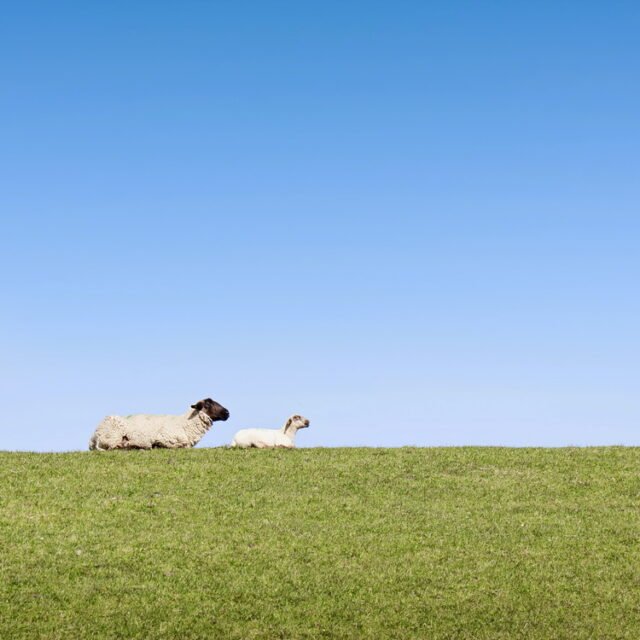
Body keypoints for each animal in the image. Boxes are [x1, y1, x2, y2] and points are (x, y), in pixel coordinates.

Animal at [89, 398, 230, 450]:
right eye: (208, 404)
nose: (227, 412)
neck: (184, 423)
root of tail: (94, 435)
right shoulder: (168, 439)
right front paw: (156, 445)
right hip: (113, 435)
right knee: (114, 447)